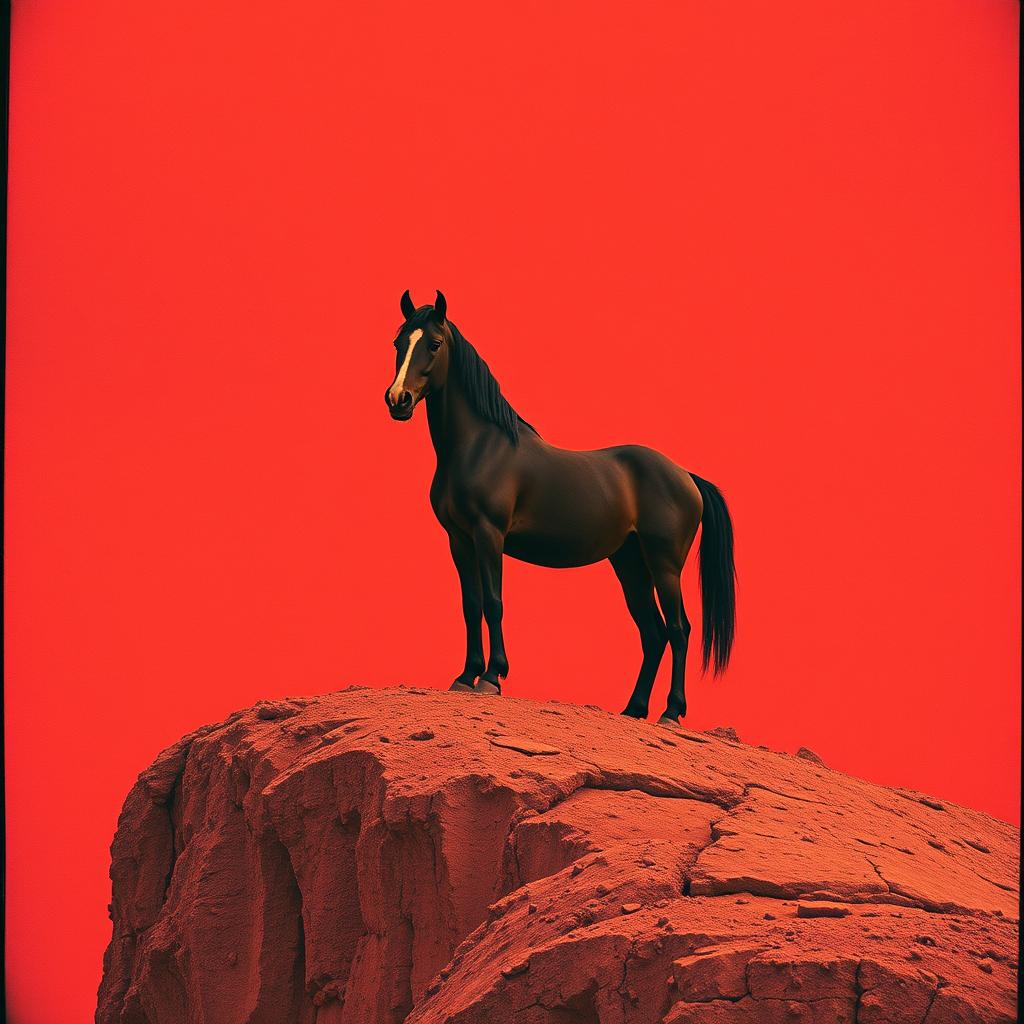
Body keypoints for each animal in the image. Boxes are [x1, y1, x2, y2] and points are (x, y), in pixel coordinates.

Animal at [384, 290, 736, 724]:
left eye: (433, 344)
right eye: (398, 343)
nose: (398, 400)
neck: (480, 446)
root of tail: (686, 476)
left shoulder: (488, 534)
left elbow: (493, 602)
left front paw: (492, 677)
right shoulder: (459, 539)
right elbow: (470, 604)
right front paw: (466, 676)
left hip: (664, 565)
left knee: (678, 629)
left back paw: (671, 712)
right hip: (630, 563)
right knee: (653, 633)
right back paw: (633, 709)